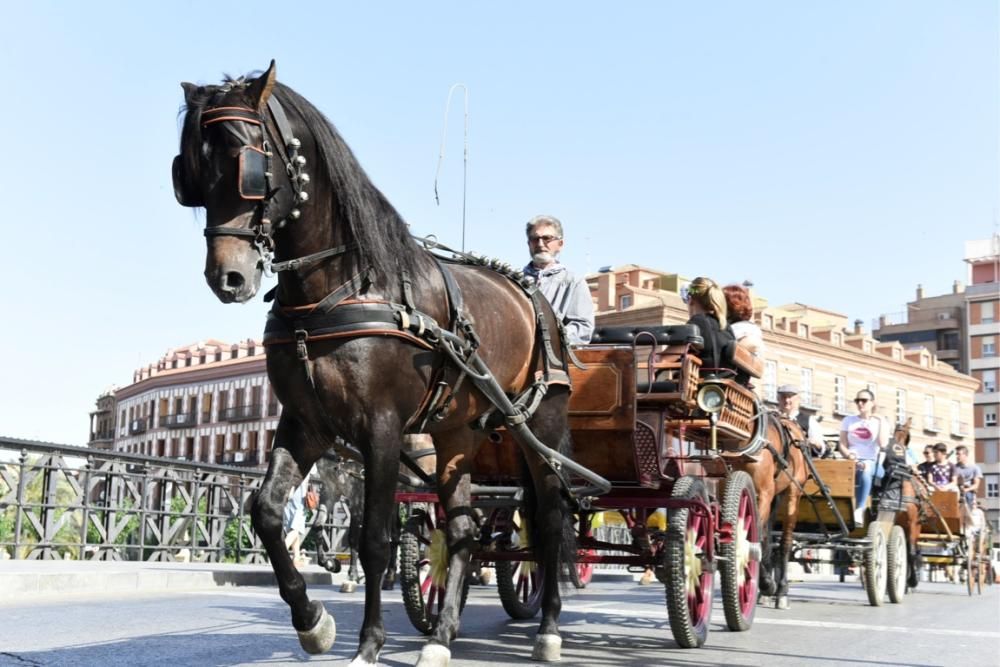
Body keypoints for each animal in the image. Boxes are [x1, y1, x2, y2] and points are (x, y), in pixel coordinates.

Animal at [173, 60, 584, 664]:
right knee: (463, 530)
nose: (228, 277)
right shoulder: (307, 424)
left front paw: (367, 643)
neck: (336, 289)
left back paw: (549, 629)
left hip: (540, 426)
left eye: (248, 163)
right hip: (457, 434)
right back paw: (440, 635)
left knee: (552, 523)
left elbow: (373, 541)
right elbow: (267, 512)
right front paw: (313, 622)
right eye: (191, 175)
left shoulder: (382, 429)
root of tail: (533, 295)